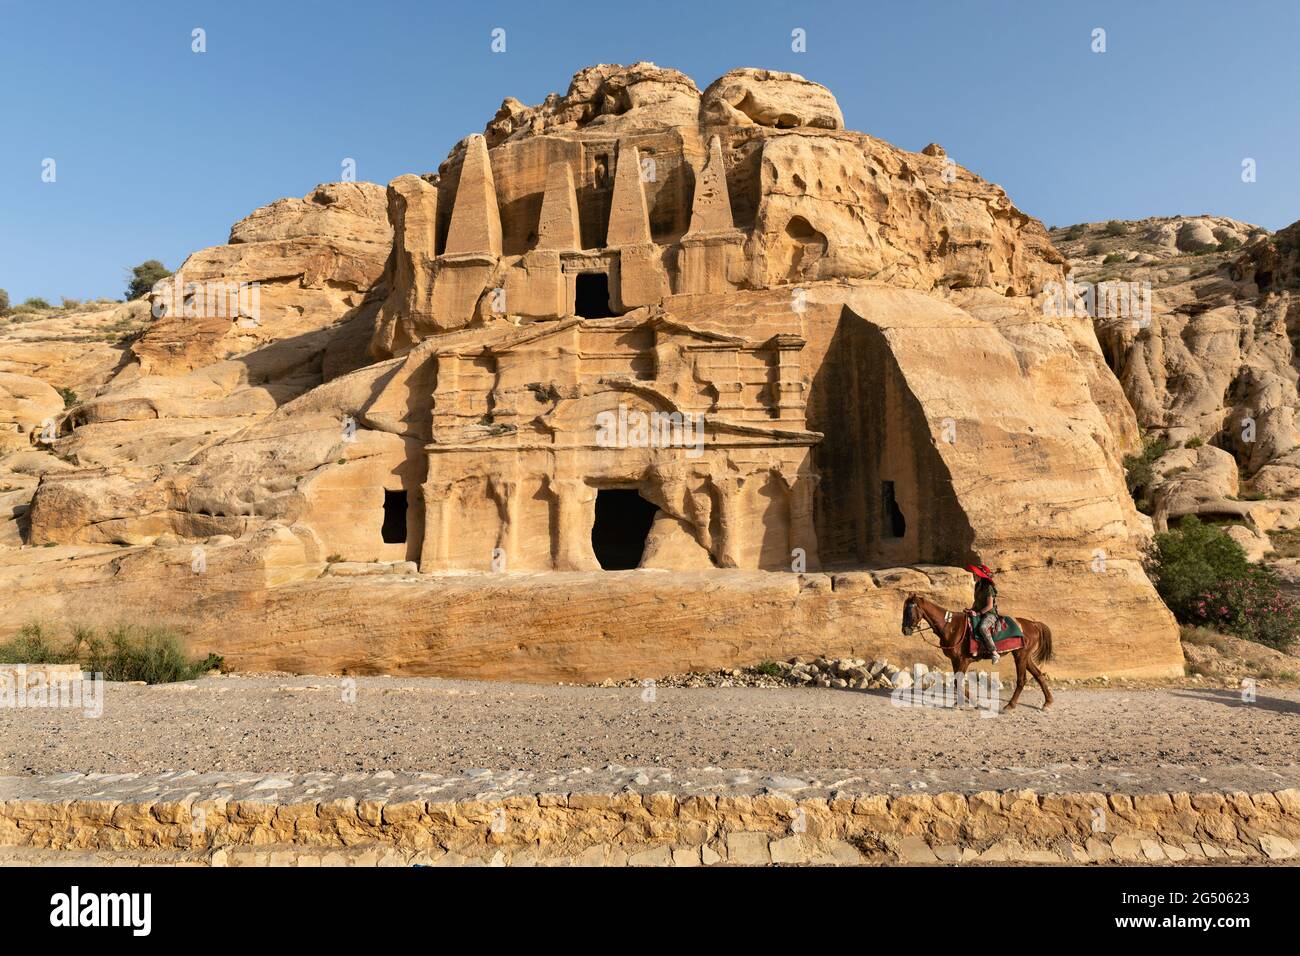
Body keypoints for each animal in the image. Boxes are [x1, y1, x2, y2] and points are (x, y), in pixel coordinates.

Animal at [904, 590, 1055, 712]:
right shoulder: (955, 660)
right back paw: (1047, 703)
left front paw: (973, 702)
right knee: (1039, 675)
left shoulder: (962, 660)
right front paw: (960, 703)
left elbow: (958, 681)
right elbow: (957, 682)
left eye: (909, 611)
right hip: (1025, 656)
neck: (951, 627)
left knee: (1022, 680)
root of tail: (1033, 624)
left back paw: (1010, 705)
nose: (905, 630)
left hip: (1020, 655)